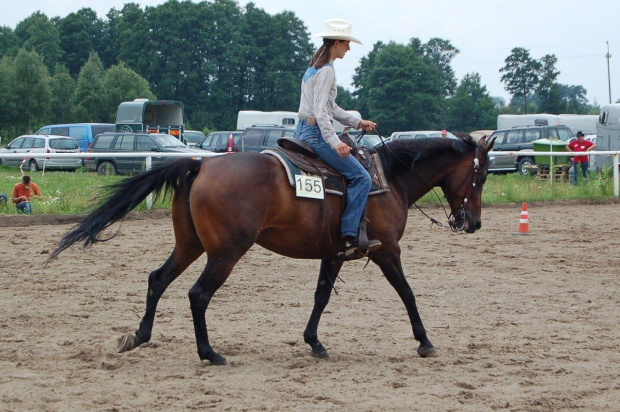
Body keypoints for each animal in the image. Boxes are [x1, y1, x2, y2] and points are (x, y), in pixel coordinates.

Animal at [49, 134, 494, 364]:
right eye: (483, 175)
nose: (473, 223)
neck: (389, 179)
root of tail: (200, 163)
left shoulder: (334, 253)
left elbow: (321, 297)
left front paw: (314, 342)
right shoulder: (387, 251)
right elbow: (407, 293)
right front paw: (425, 341)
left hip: (190, 245)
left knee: (157, 279)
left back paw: (139, 336)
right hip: (226, 252)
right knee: (198, 294)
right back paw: (210, 353)